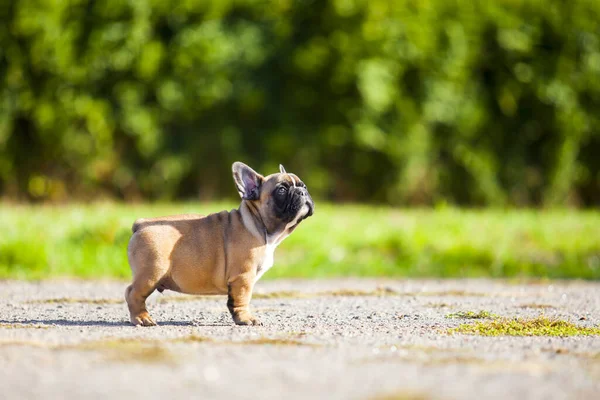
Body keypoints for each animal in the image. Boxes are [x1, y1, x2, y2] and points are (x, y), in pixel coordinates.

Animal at [125, 162, 314, 324]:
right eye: (281, 190)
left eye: (303, 186)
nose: (302, 192)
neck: (257, 223)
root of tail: (141, 224)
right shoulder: (243, 277)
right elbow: (242, 299)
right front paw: (246, 319)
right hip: (152, 273)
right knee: (133, 294)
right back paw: (142, 318)